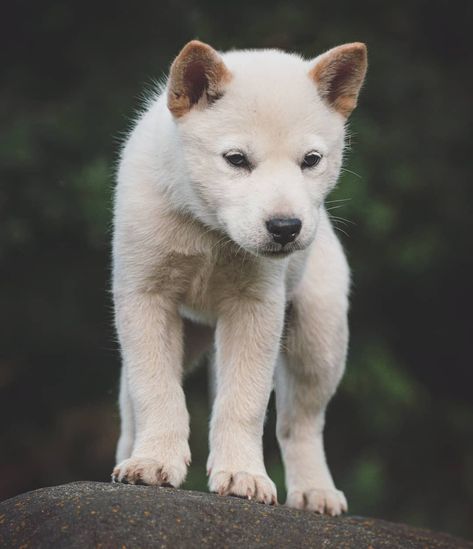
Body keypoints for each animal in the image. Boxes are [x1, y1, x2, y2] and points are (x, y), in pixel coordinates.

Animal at [110, 39, 366, 512]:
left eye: (311, 161)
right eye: (236, 160)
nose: (286, 227)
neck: (210, 233)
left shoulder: (256, 308)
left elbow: (243, 402)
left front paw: (242, 475)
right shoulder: (144, 297)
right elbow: (156, 390)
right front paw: (154, 462)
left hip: (319, 342)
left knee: (300, 424)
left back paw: (315, 491)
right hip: (184, 336)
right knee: (130, 404)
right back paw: (129, 455)